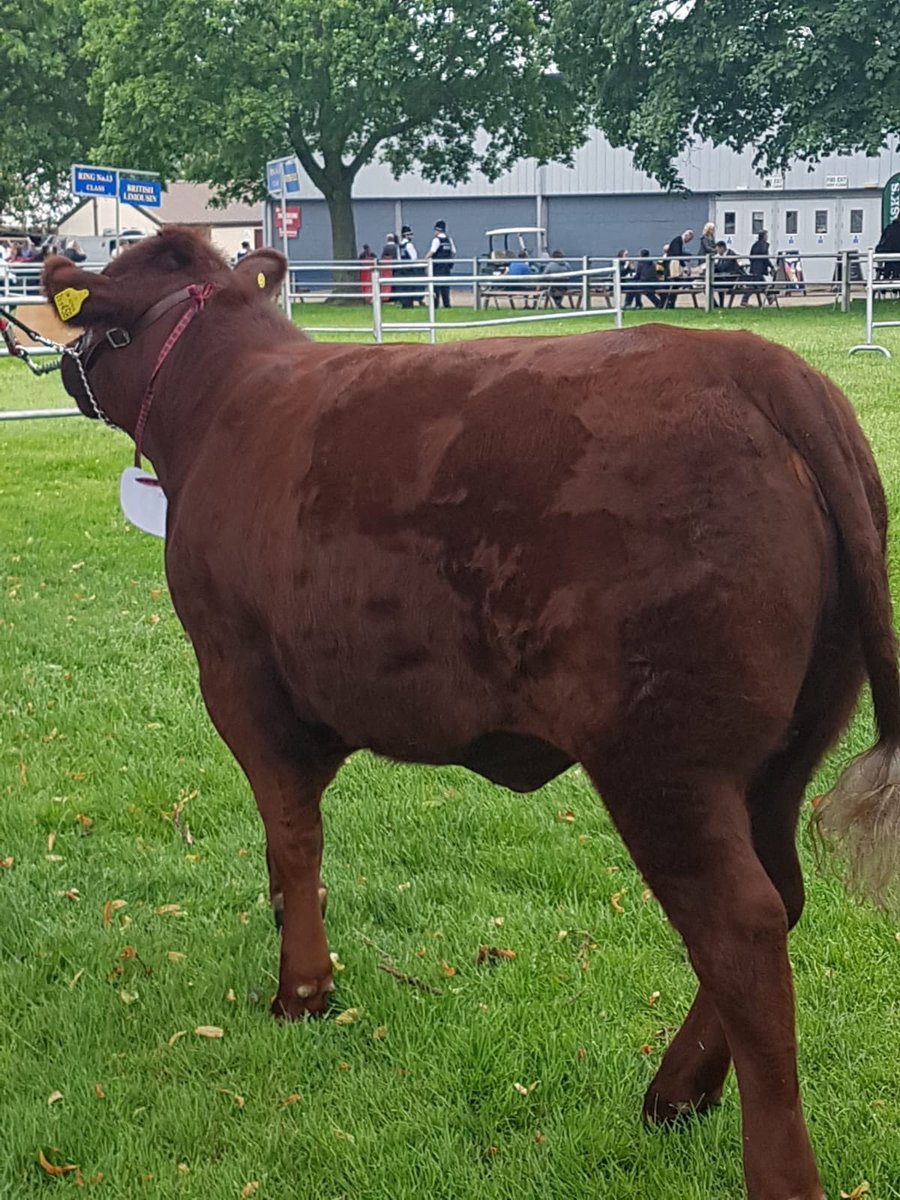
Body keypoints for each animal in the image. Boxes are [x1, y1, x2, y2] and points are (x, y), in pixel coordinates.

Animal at [43, 228, 899, 1200]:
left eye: (99, 309)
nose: (60, 361)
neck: (224, 401)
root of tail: (761, 364)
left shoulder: (239, 678)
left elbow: (294, 834)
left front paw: (302, 991)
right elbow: (283, 840)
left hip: (664, 760)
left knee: (741, 927)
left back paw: (763, 1158)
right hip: (785, 750)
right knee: (783, 894)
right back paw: (677, 1090)